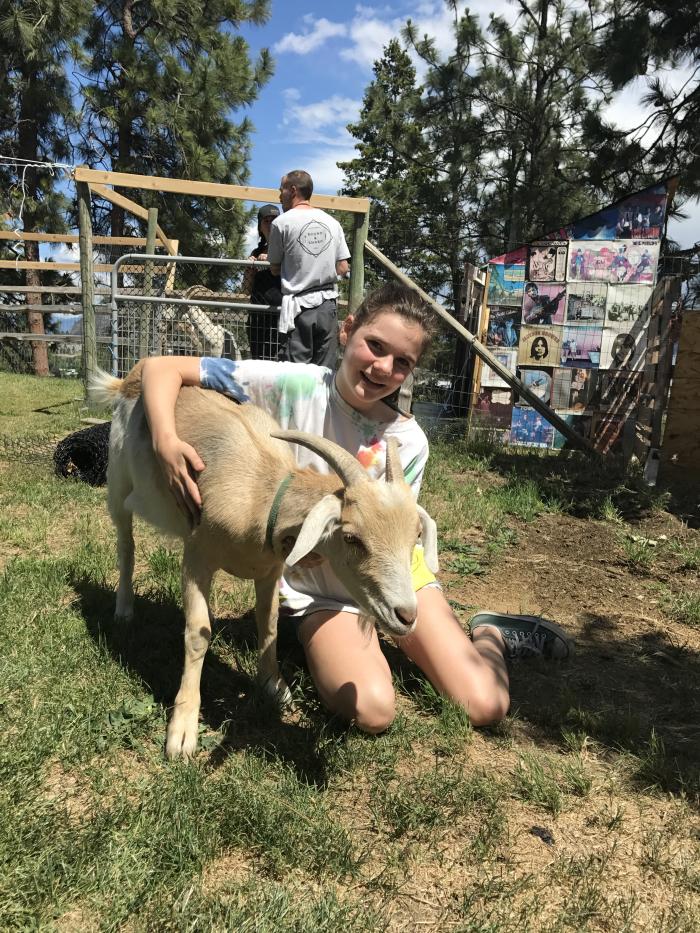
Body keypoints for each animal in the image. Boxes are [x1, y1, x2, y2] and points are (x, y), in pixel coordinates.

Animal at [89, 362, 438, 756]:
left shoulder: (270, 570)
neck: (262, 492)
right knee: (126, 544)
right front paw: (182, 731)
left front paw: (274, 687)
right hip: (118, 482)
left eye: (415, 538)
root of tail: (130, 377)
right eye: (352, 538)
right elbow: (198, 633)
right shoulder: (197, 558)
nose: (406, 616)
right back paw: (124, 610)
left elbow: (268, 624)